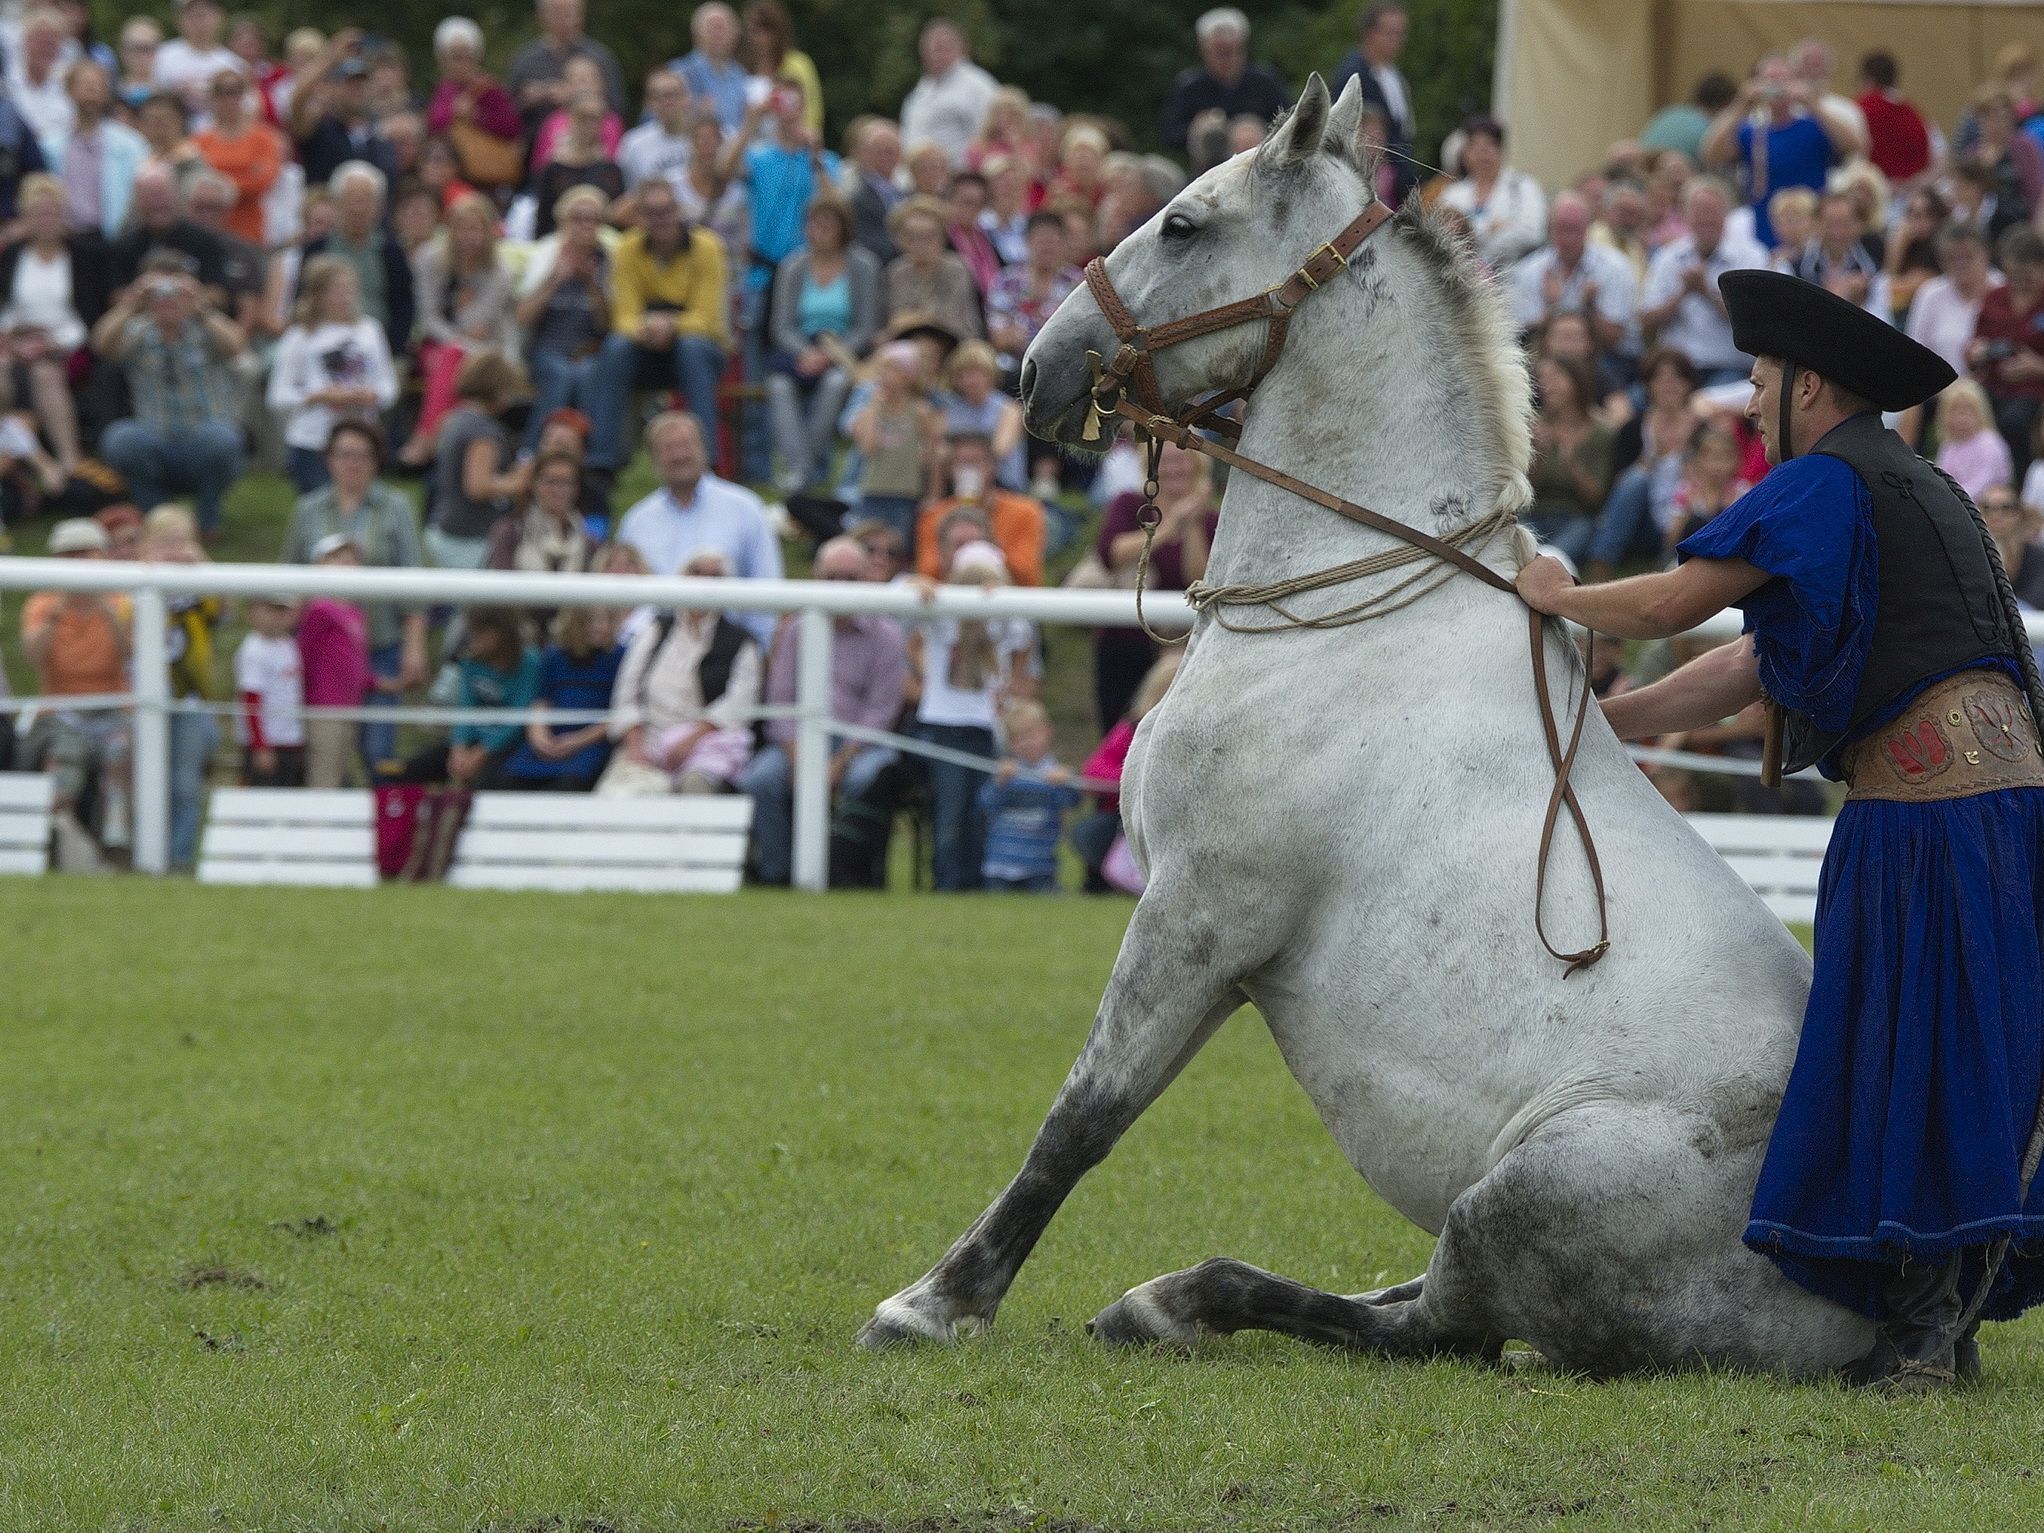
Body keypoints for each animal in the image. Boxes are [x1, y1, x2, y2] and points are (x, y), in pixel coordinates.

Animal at [854, 75, 1872, 1381]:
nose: (1036, 366)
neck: (1343, 632)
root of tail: (1917, 1299)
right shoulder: (1216, 945)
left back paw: (1178, 1301)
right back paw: (1175, 1299)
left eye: (1181, 223)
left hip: (1526, 1197)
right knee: (1432, 1314)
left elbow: (1082, 1116)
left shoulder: (1200, 912)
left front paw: (934, 1302)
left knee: (1440, 1324)